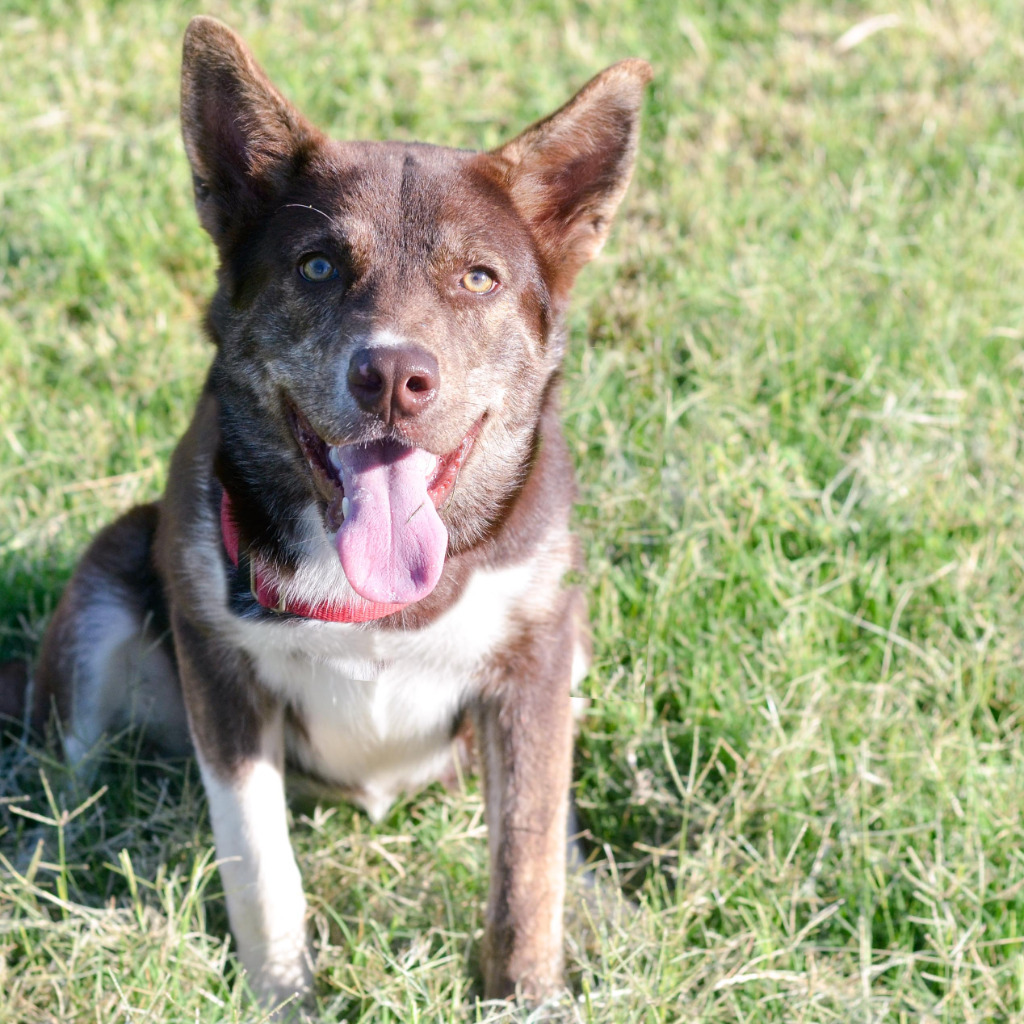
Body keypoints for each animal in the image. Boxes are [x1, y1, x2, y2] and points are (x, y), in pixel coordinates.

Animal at [22, 16, 647, 1007]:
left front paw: (528, 995)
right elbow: (261, 867)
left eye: (478, 278)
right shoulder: (222, 681)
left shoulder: (534, 665)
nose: (392, 374)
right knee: (60, 778)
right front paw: (284, 1001)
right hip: (106, 578)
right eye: (316, 266)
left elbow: (529, 856)